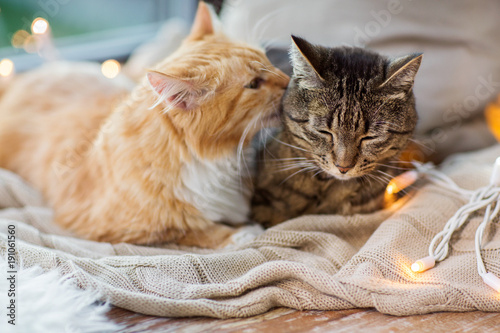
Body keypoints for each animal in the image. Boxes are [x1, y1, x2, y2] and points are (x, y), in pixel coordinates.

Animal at [0, 1, 290, 246]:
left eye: (267, 59)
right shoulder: (122, 227)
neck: (217, 160)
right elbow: (197, 229)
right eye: (254, 84)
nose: (289, 82)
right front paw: (244, 233)